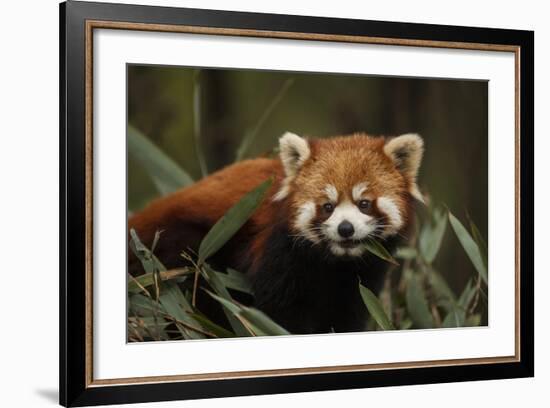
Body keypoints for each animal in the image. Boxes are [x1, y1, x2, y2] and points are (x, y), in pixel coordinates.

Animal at [130, 132, 426, 334]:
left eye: (364, 203)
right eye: (327, 206)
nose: (345, 228)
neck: (333, 263)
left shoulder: (363, 275)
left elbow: (348, 312)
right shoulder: (279, 252)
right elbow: (280, 311)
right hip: (183, 247)